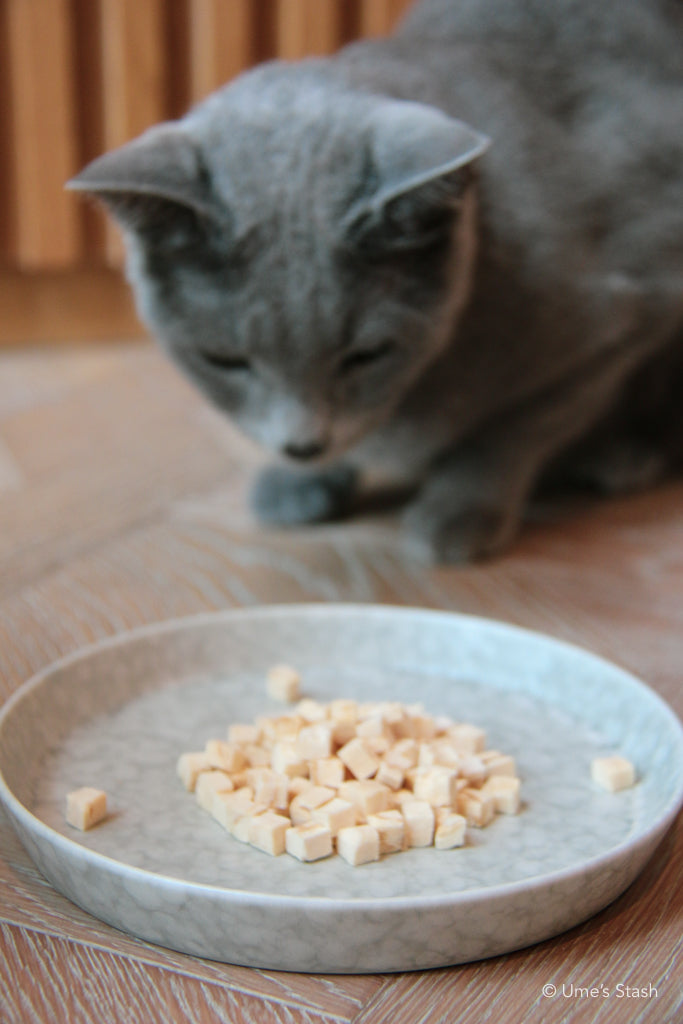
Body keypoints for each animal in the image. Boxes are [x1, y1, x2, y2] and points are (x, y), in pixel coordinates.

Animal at [68, 0, 683, 561]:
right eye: (224, 361)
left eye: (366, 355)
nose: (302, 446)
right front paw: (303, 483)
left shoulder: (628, 319)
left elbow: (513, 431)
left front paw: (457, 512)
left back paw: (621, 458)